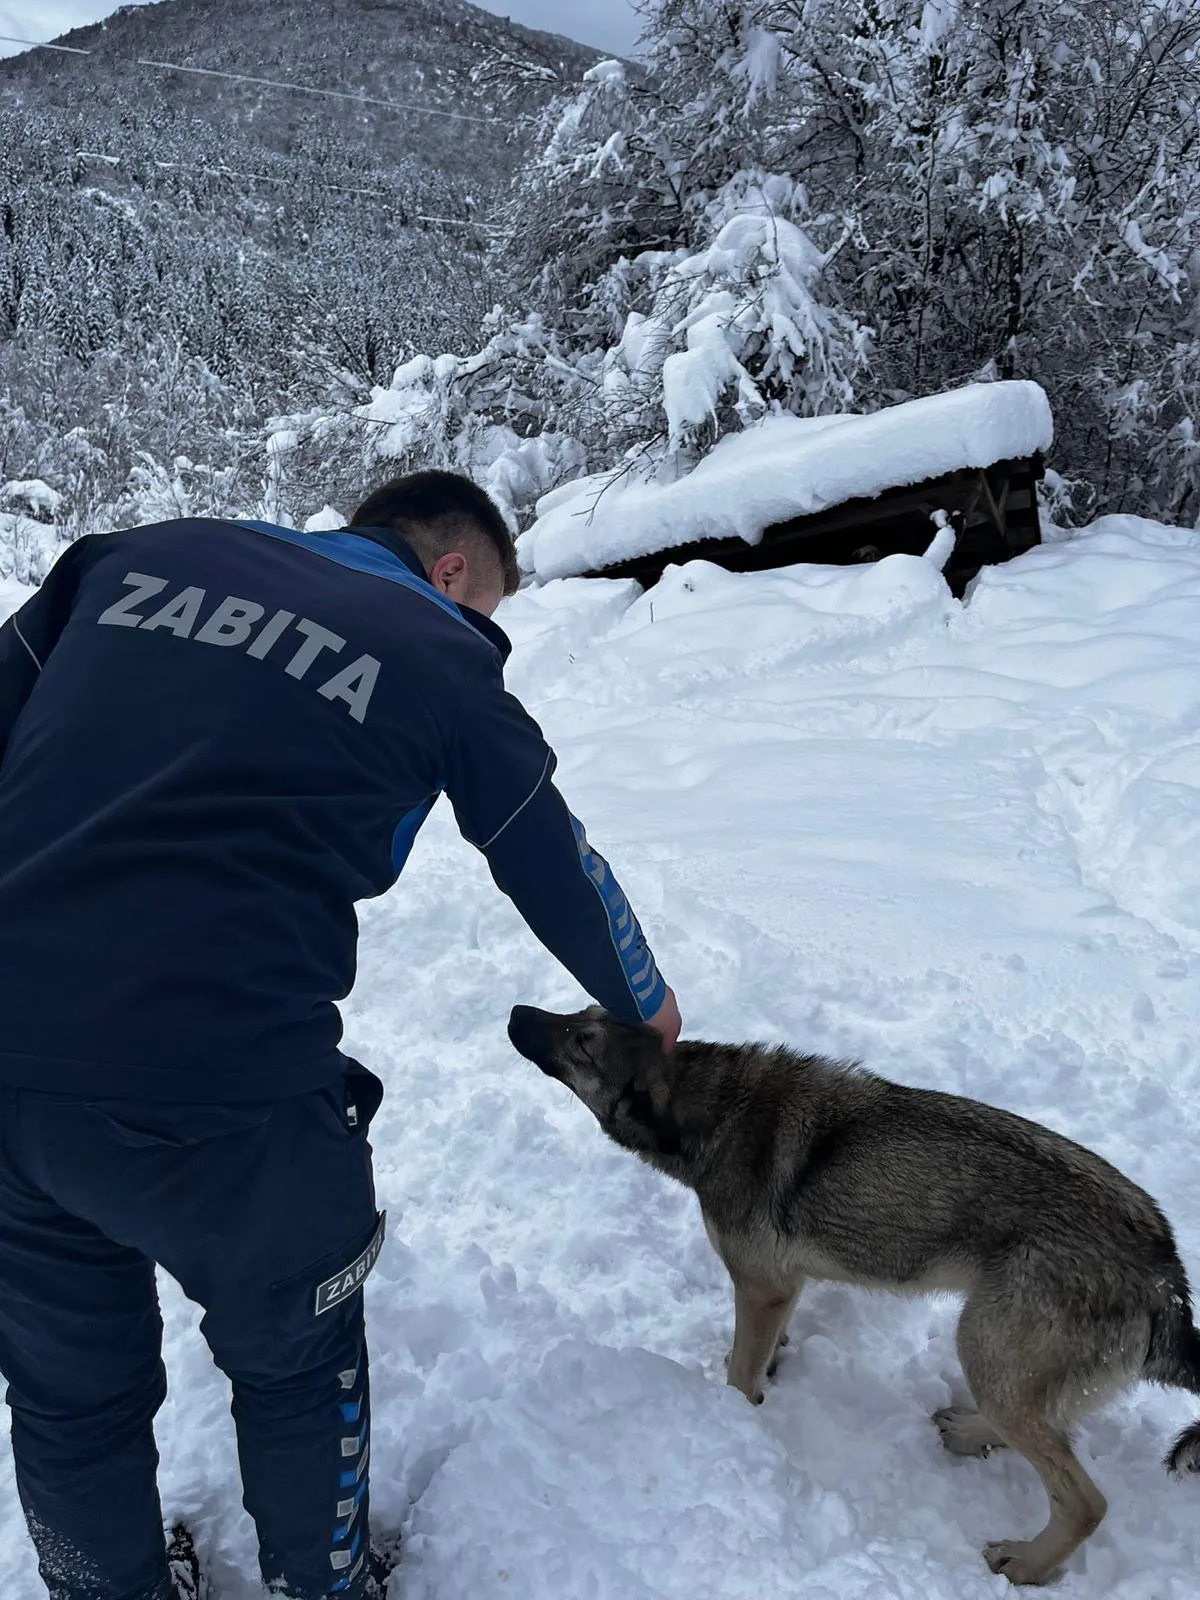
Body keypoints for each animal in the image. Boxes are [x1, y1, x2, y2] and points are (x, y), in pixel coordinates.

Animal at [508, 1004, 1200, 1580]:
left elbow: (738, 1373)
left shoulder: (761, 1285)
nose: (517, 1011)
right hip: (1003, 1361)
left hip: (984, 1344)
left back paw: (1025, 1564)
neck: (712, 1111)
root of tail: (1166, 1277)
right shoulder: (782, 1288)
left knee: (1085, 1502)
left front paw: (736, 1415)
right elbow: (762, 1349)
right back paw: (969, 1433)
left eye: (584, 1042)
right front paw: (770, 1370)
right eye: (582, 1012)